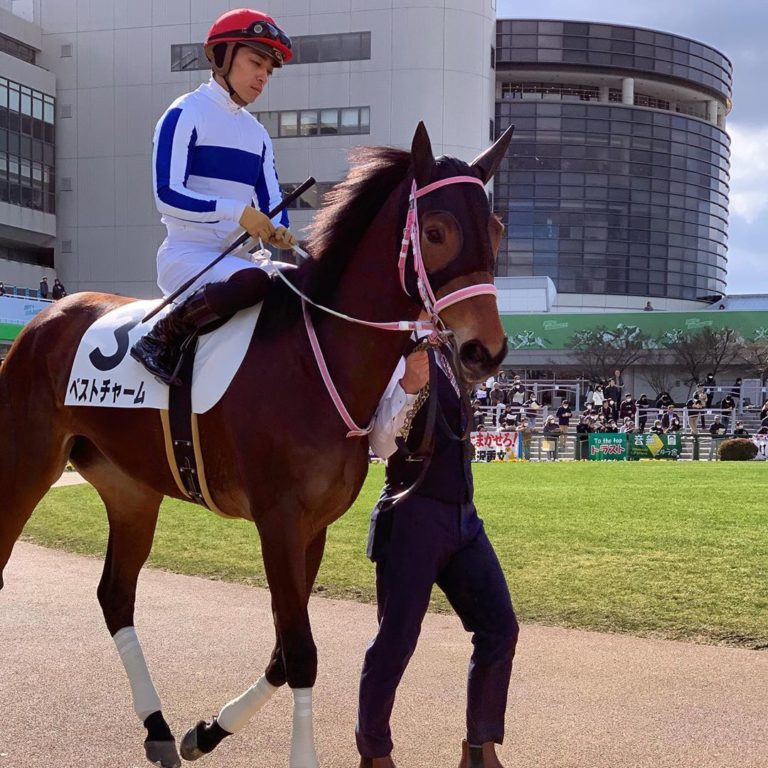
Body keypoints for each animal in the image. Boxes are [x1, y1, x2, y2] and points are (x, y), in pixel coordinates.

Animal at [3, 123, 512, 764]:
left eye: (495, 229)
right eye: (437, 231)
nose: (484, 351)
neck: (314, 358)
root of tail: (48, 314)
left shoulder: (313, 527)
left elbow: (281, 654)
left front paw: (207, 731)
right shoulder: (279, 520)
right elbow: (300, 653)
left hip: (131, 491)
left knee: (116, 595)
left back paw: (160, 728)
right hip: (24, 466)